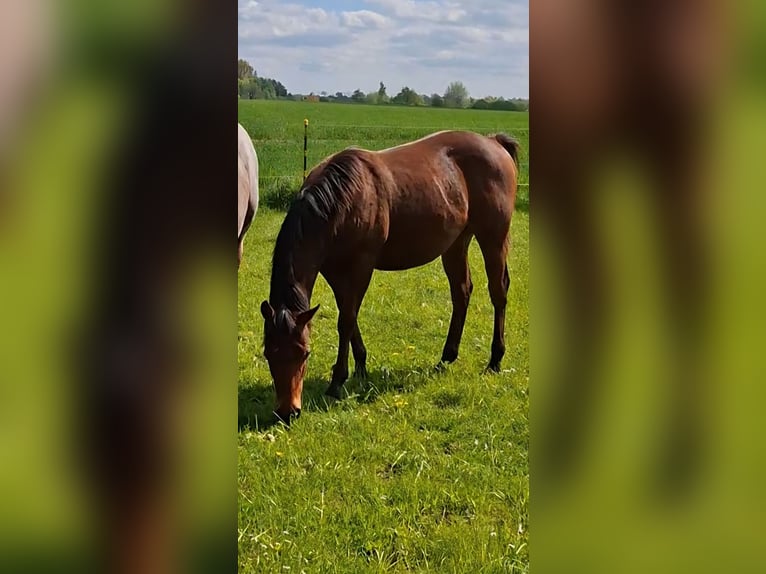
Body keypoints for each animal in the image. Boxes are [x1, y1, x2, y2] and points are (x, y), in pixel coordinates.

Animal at [260, 130, 520, 421]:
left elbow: (346, 320)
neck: (342, 201)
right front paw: (360, 366)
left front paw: (337, 381)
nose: (287, 412)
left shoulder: (361, 266)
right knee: (461, 291)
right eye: (268, 353)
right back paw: (446, 357)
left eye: (305, 353)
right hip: (456, 242)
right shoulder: (334, 272)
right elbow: (348, 316)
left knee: (498, 292)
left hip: (493, 238)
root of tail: (493, 141)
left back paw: (495, 359)